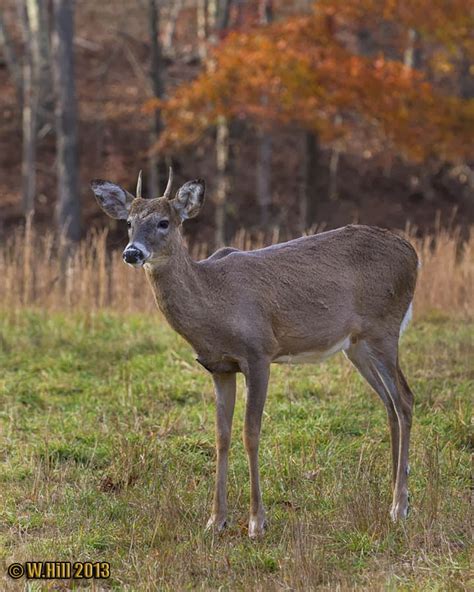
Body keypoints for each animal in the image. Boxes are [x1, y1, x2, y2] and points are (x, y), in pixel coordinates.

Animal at [90, 169, 416, 540]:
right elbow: (221, 436)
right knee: (389, 403)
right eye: (129, 222)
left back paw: (399, 506)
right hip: (357, 345)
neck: (215, 304)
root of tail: (412, 253)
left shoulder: (259, 354)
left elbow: (251, 434)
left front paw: (256, 522)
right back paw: (396, 493)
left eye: (164, 222)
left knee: (405, 399)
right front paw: (215, 520)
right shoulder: (219, 367)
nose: (132, 253)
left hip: (384, 329)